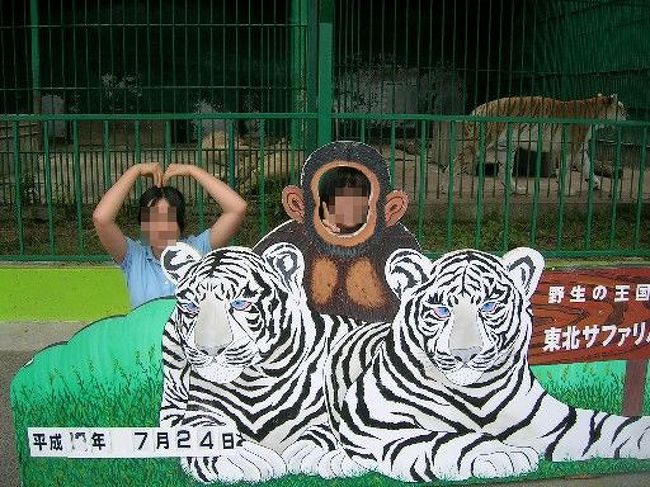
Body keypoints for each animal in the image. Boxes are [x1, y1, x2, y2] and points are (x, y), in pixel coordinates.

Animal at [446, 94, 624, 193]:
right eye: (622, 109)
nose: (627, 115)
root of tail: (477, 109)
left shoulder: (580, 150)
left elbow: (588, 166)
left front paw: (595, 184)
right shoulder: (570, 149)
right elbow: (566, 170)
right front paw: (566, 191)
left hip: (506, 148)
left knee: (503, 172)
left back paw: (515, 190)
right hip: (479, 144)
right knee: (454, 163)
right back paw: (446, 189)